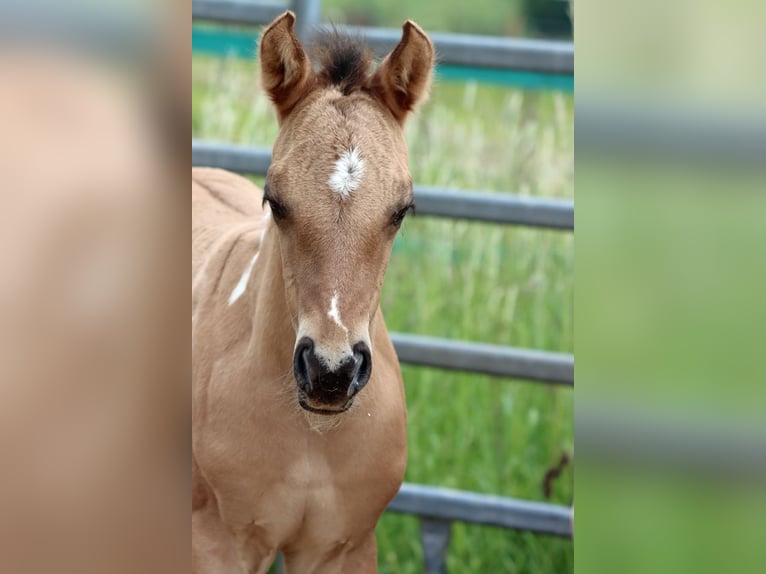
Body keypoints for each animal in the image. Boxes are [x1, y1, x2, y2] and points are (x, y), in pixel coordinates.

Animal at [192, 12, 434, 573]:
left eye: (401, 210)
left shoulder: (342, 547)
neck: (310, 434)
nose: (330, 372)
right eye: (274, 201)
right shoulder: (217, 544)